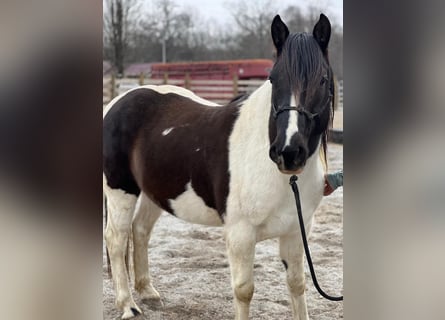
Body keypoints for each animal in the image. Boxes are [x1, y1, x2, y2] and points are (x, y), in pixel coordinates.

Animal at [103, 13, 332, 320]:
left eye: (323, 80)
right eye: (273, 79)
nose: (288, 152)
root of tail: (116, 103)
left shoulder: (296, 230)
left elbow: (297, 284)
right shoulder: (241, 234)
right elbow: (244, 291)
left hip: (155, 191)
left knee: (139, 231)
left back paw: (148, 292)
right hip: (120, 190)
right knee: (116, 240)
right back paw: (128, 305)